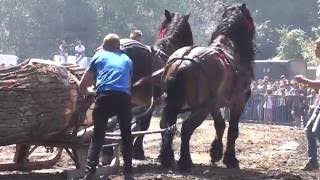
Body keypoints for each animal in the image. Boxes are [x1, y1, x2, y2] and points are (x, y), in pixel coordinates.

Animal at [159, 3, 255, 171]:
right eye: (249, 18)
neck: (230, 48)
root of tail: (182, 61)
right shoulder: (238, 102)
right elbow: (233, 130)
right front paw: (230, 159)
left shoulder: (215, 104)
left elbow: (220, 125)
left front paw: (216, 152)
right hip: (201, 108)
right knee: (186, 128)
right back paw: (185, 161)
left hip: (174, 104)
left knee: (166, 125)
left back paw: (167, 158)